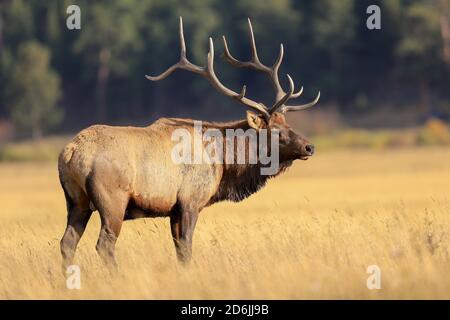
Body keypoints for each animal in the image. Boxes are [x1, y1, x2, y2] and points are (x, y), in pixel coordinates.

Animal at [58, 17, 320, 270]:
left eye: (288, 123)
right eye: (276, 131)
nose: (309, 146)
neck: (224, 163)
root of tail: (70, 153)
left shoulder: (173, 210)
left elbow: (179, 250)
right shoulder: (190, 200)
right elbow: (186, 248)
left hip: (76, 201)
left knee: (67, 242)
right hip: (113, 200)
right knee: (104, 244)